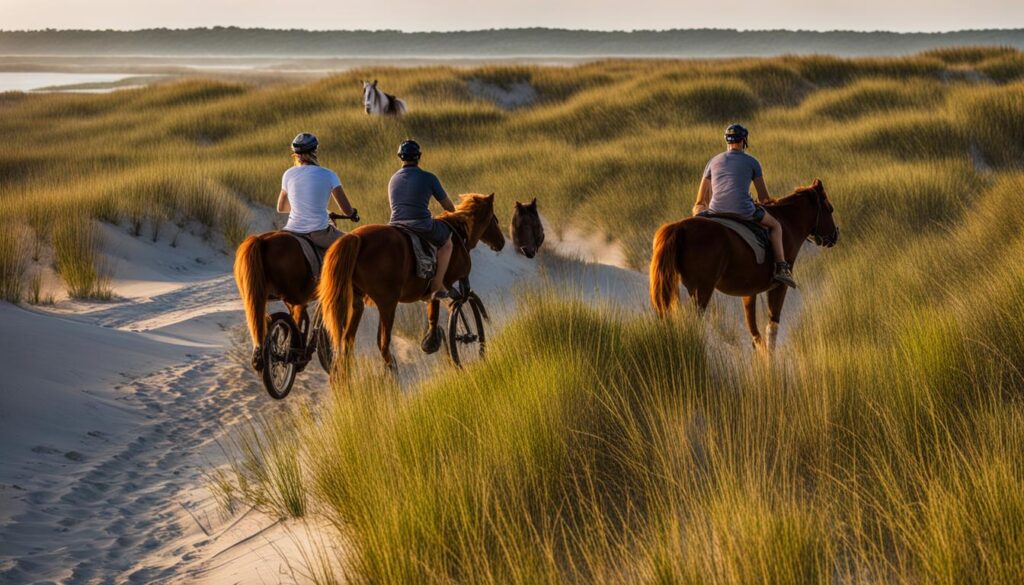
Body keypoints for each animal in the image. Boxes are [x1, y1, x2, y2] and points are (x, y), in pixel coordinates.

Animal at [319, 193, 503, 370]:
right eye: (495, 219)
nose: (501, 242)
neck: (458, 233)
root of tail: (356, 238)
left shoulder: (436, 290)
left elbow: (437, 308)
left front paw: (433, 340)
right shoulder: (451, 283)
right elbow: (457, 305)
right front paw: (467, 337)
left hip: (358, 303)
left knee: (348, 342)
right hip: (387, 304)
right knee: (383, 344)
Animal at [647, 178, 839, 350]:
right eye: (829, 209)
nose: (835, 235)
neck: (787, 224)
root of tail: (680, 227)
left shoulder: (749, 292)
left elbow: (755, 332)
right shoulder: (779, 287)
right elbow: (772, 327)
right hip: (701, 291)